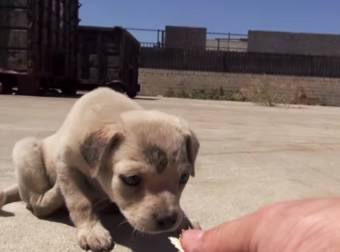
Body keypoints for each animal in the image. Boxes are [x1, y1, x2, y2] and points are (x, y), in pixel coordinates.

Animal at [0, 87, 199, 251]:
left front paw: (185, 222)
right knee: (36, 203)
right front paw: (92, 232)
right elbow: (80, 202)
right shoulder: (67, 165)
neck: (113, 113)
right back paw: (56, 193)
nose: (168, 220)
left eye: (184, 177)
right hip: (26, 150)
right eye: (131, 179)